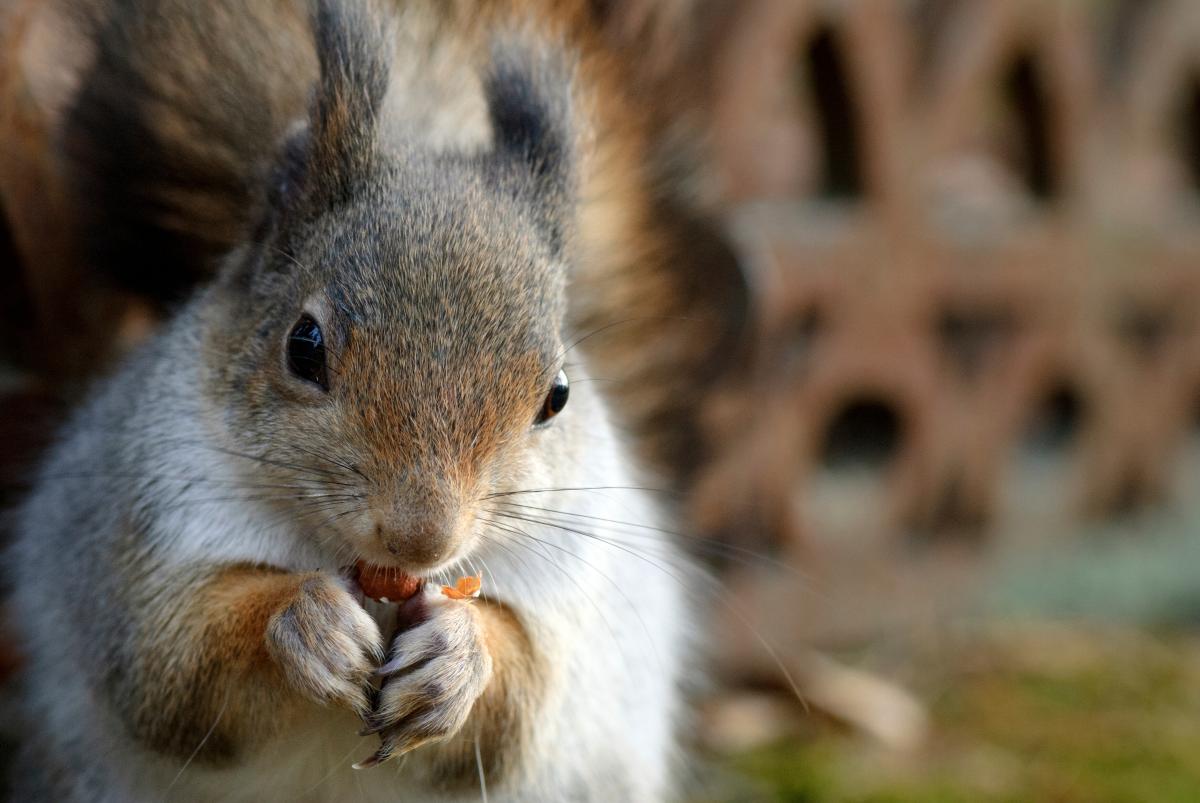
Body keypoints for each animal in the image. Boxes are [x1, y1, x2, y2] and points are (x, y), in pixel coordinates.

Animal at [11, 0, 696, 796]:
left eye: (556, 396)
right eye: (303, 346)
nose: (422, 539)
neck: (372, 581)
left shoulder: (565, 598)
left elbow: (517, 714)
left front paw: (459, 660)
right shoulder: (140, 530)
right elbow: (169, 667)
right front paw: (305, 625)